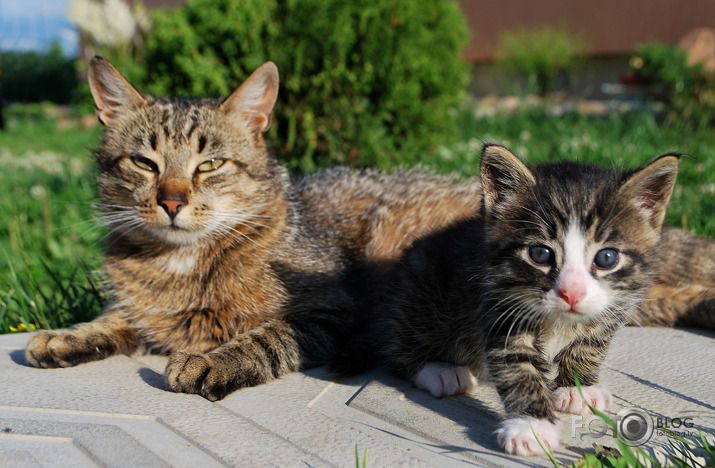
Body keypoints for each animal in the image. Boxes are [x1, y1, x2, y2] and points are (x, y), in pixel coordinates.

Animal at [23, 54, 482, 398]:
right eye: (144, 163)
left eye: (210, 164)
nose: (171, 202)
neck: (180, 262)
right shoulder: (147, 313)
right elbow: (118, 317)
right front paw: (71, 334)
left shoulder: (331, 310)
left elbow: (267, 336)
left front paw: (214, 360)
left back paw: (444, 370)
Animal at [378, 144, 712, 458]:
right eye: (539, 254)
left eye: (606, 258)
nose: (571, 293)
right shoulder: (499, 305)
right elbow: (519, 367)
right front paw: (532, 427)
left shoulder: (612, 305)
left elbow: (591, 342)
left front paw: (578, 386)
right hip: (419, 288)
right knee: (400, 344)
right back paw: (441, 371)